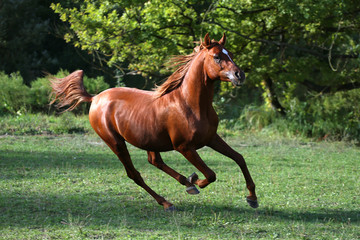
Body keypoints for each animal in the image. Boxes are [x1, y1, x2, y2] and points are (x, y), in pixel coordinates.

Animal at [50, 33, 258, 210]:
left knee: (154, 161)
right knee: (134, 174)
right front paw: (196, 181)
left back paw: (186, 183)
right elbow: (210, 174)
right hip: (116, 143)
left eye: (230, 54)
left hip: (149, 141)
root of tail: (95, 98)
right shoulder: (184, 147)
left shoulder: (211, 138)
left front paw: (252, 198)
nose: (240, 75)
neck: (190, 104)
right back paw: (167, 201)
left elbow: (239, 158)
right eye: (216, 57)